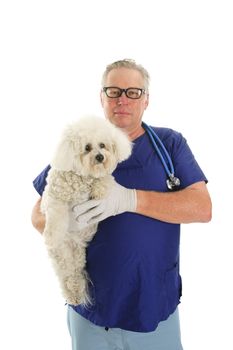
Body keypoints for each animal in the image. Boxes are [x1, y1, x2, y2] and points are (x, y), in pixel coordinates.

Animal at [40, 116, 131, 304]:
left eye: (102, 145)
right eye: (87, 147)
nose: (100, 156)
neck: (82, 177)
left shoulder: (106, 178)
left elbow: (105, 179)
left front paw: (99, 190)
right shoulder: (54, 197)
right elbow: (55, 217)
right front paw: (50, 237)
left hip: (78, 256)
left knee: (75, 274)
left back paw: (76, 292)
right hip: (62, 256)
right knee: (66, 275)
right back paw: (72, 295)